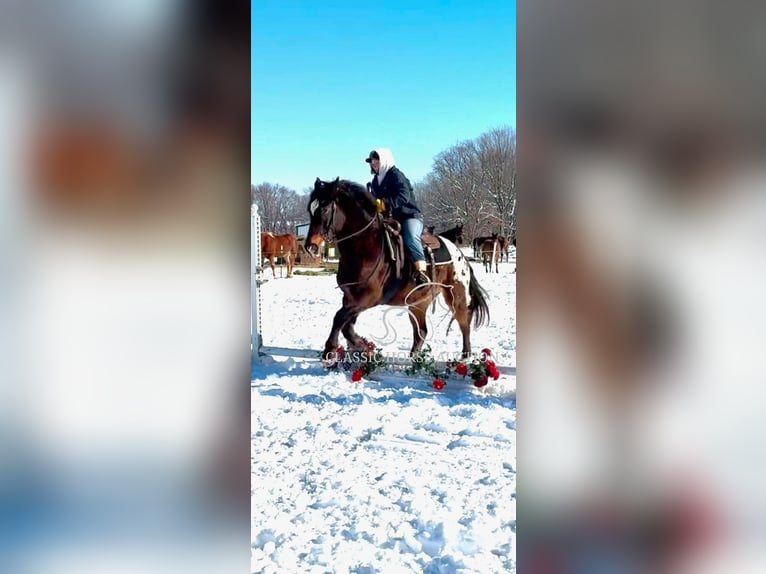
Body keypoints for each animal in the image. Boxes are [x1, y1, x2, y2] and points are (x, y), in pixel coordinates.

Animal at [306, 178, 492, 362]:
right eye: (310, 209)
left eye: (324, 209)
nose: (311, 247)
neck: (366, 246)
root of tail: (459, 254)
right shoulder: (351, 299)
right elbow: (346, 326)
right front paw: (363, 347)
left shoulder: (366, 299)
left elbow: (339, 319)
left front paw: (330, 350)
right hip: (418, 303)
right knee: (421, 331)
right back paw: (413, 359)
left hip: (456, 295)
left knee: (464, 322)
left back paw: (465, 356)